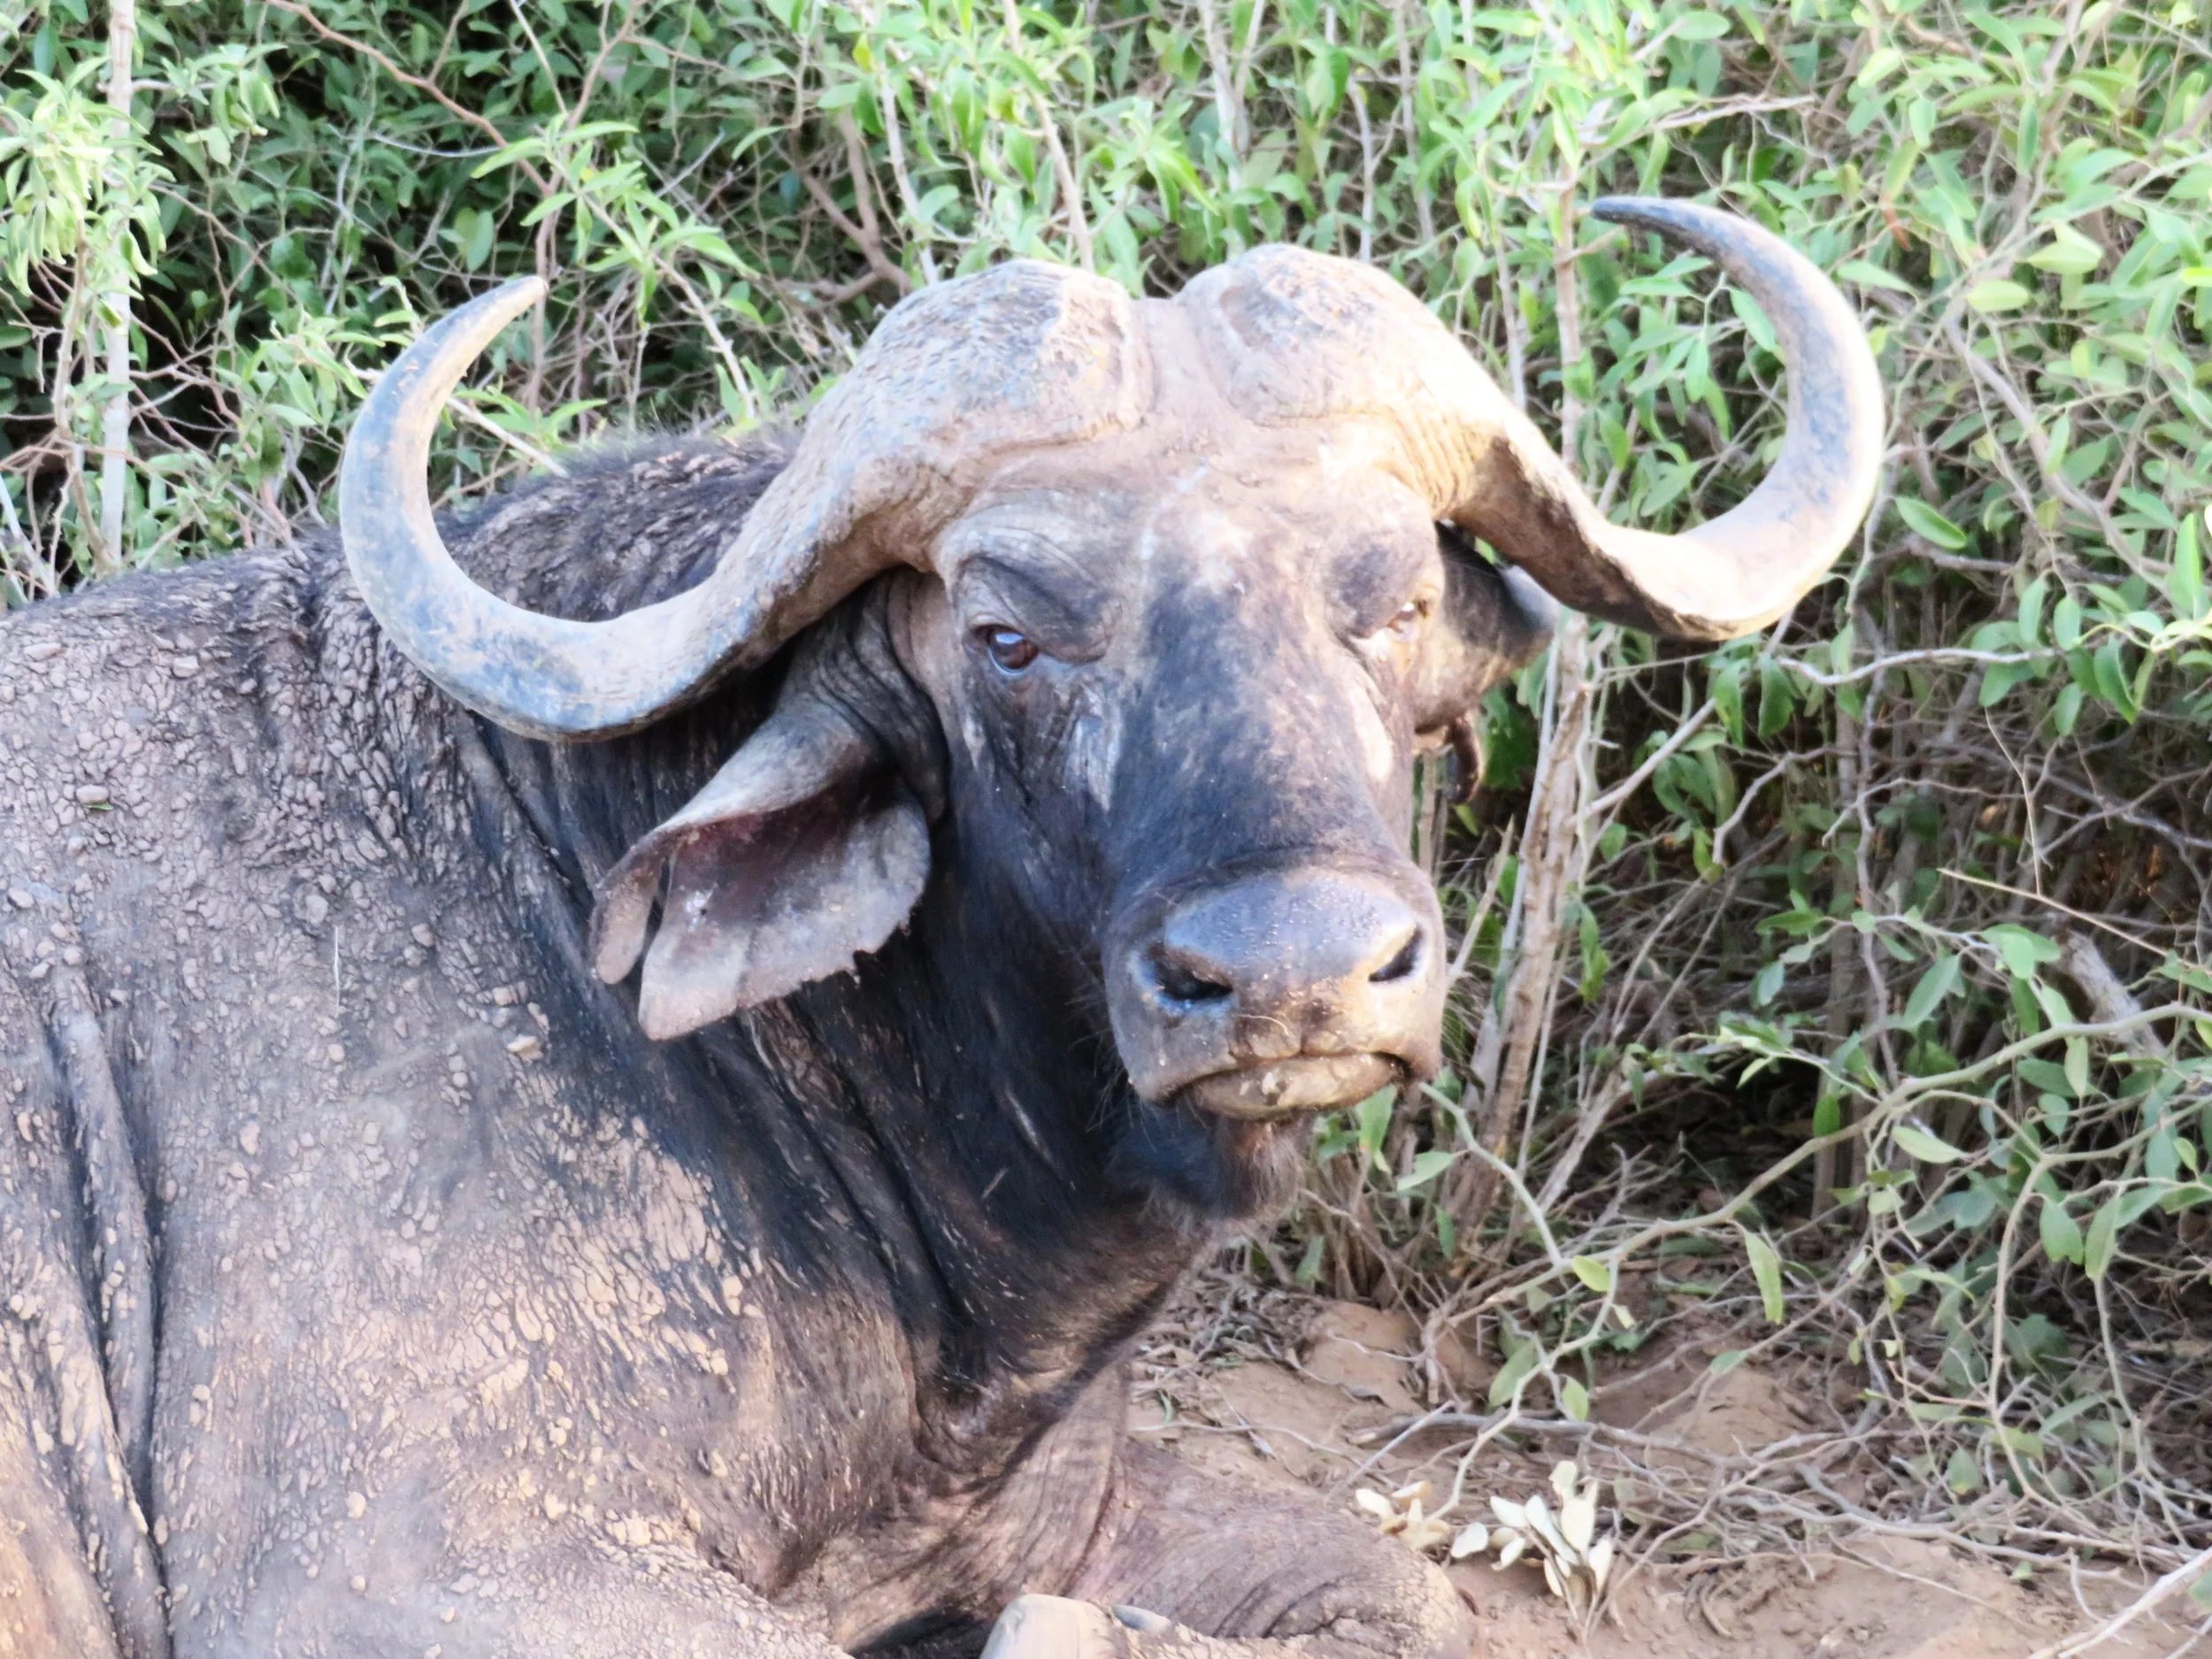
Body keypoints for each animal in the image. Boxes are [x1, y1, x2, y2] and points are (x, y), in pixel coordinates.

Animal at [0, 198, 1880, 1659]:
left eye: (1399, 597)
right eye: (1010, 635)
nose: (1294, 976)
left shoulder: (1062, 1507)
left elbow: (1403, 1593)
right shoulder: (417, 1574)